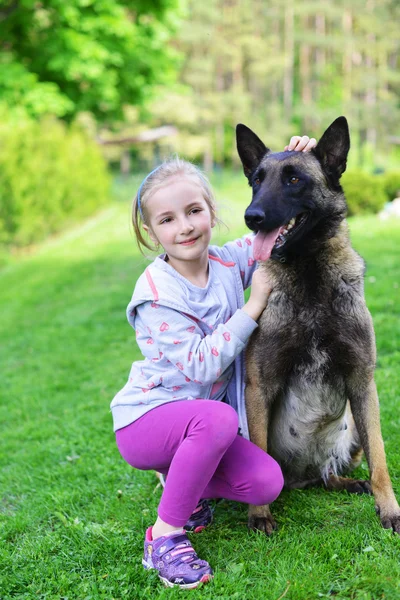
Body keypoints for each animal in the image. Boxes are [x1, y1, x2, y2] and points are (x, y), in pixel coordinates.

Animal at [236, 116, 398, 536]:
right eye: (256, 180)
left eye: (294, 179)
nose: (252, 217)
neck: (309, 277)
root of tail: (303, 476)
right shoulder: (260, 387)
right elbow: (258, 455)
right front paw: (259, 515)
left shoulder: (363, 384)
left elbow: (380, 460)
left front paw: (390, 510)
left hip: (354, 425)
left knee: (331, 474)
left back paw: (347, 481)